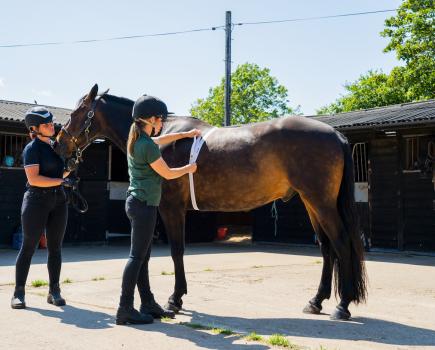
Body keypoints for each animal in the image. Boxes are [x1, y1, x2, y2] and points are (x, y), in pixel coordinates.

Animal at [54, 84, 368, 320]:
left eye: (78, 111)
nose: (58, 144)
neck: (161, 137)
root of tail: (335, 134)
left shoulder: (171, 208)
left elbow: (177, 250)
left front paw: (174, 299)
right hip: (312, 203)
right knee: (326, 247)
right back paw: (316, 301)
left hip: (321, 203)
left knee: (341, 243)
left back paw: (342, 305)